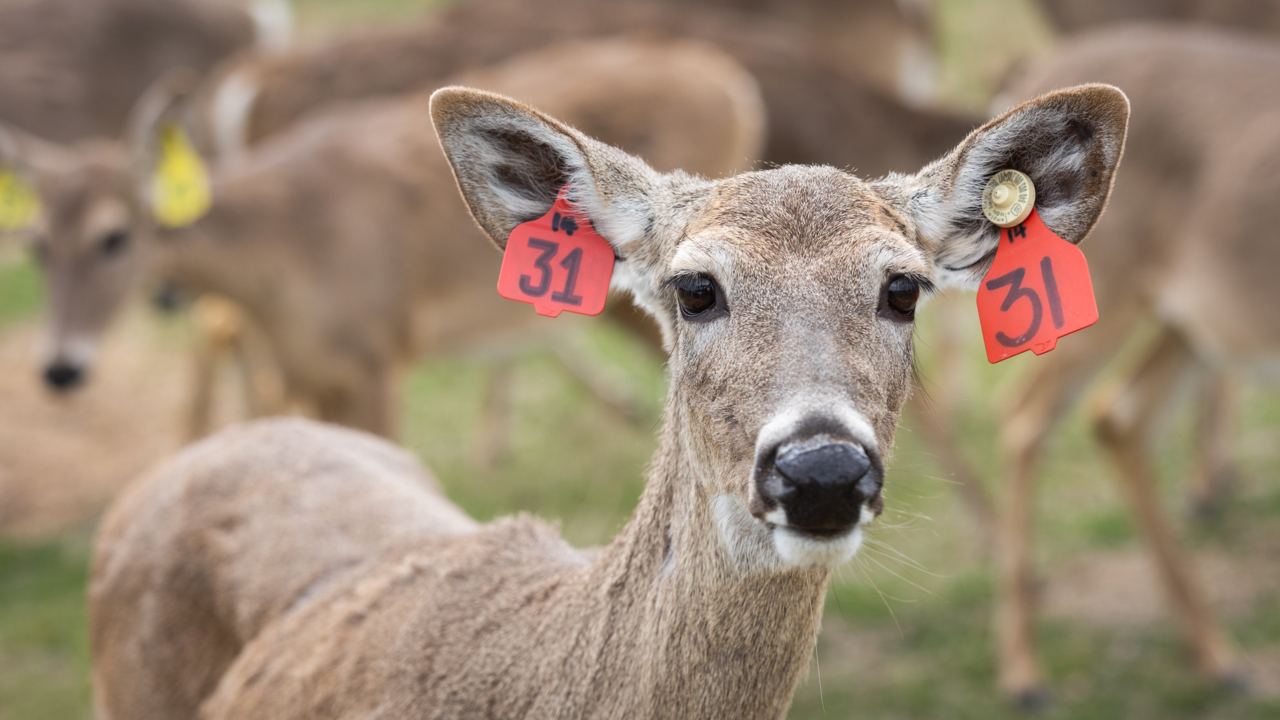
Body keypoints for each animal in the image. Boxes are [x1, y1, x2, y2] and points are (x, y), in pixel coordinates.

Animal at [3, 38, 764, 438]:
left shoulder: (377, 356)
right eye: (34, 242)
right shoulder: (310, 373)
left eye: (113, 237)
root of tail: (734, 83)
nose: (60, 368)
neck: (287, 254)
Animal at [940, 24, 1280, 705]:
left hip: (1192, 321)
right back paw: (1024, 668)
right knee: (1027, 415)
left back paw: (1216, 656)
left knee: (1121, 416)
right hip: (1101, 296)